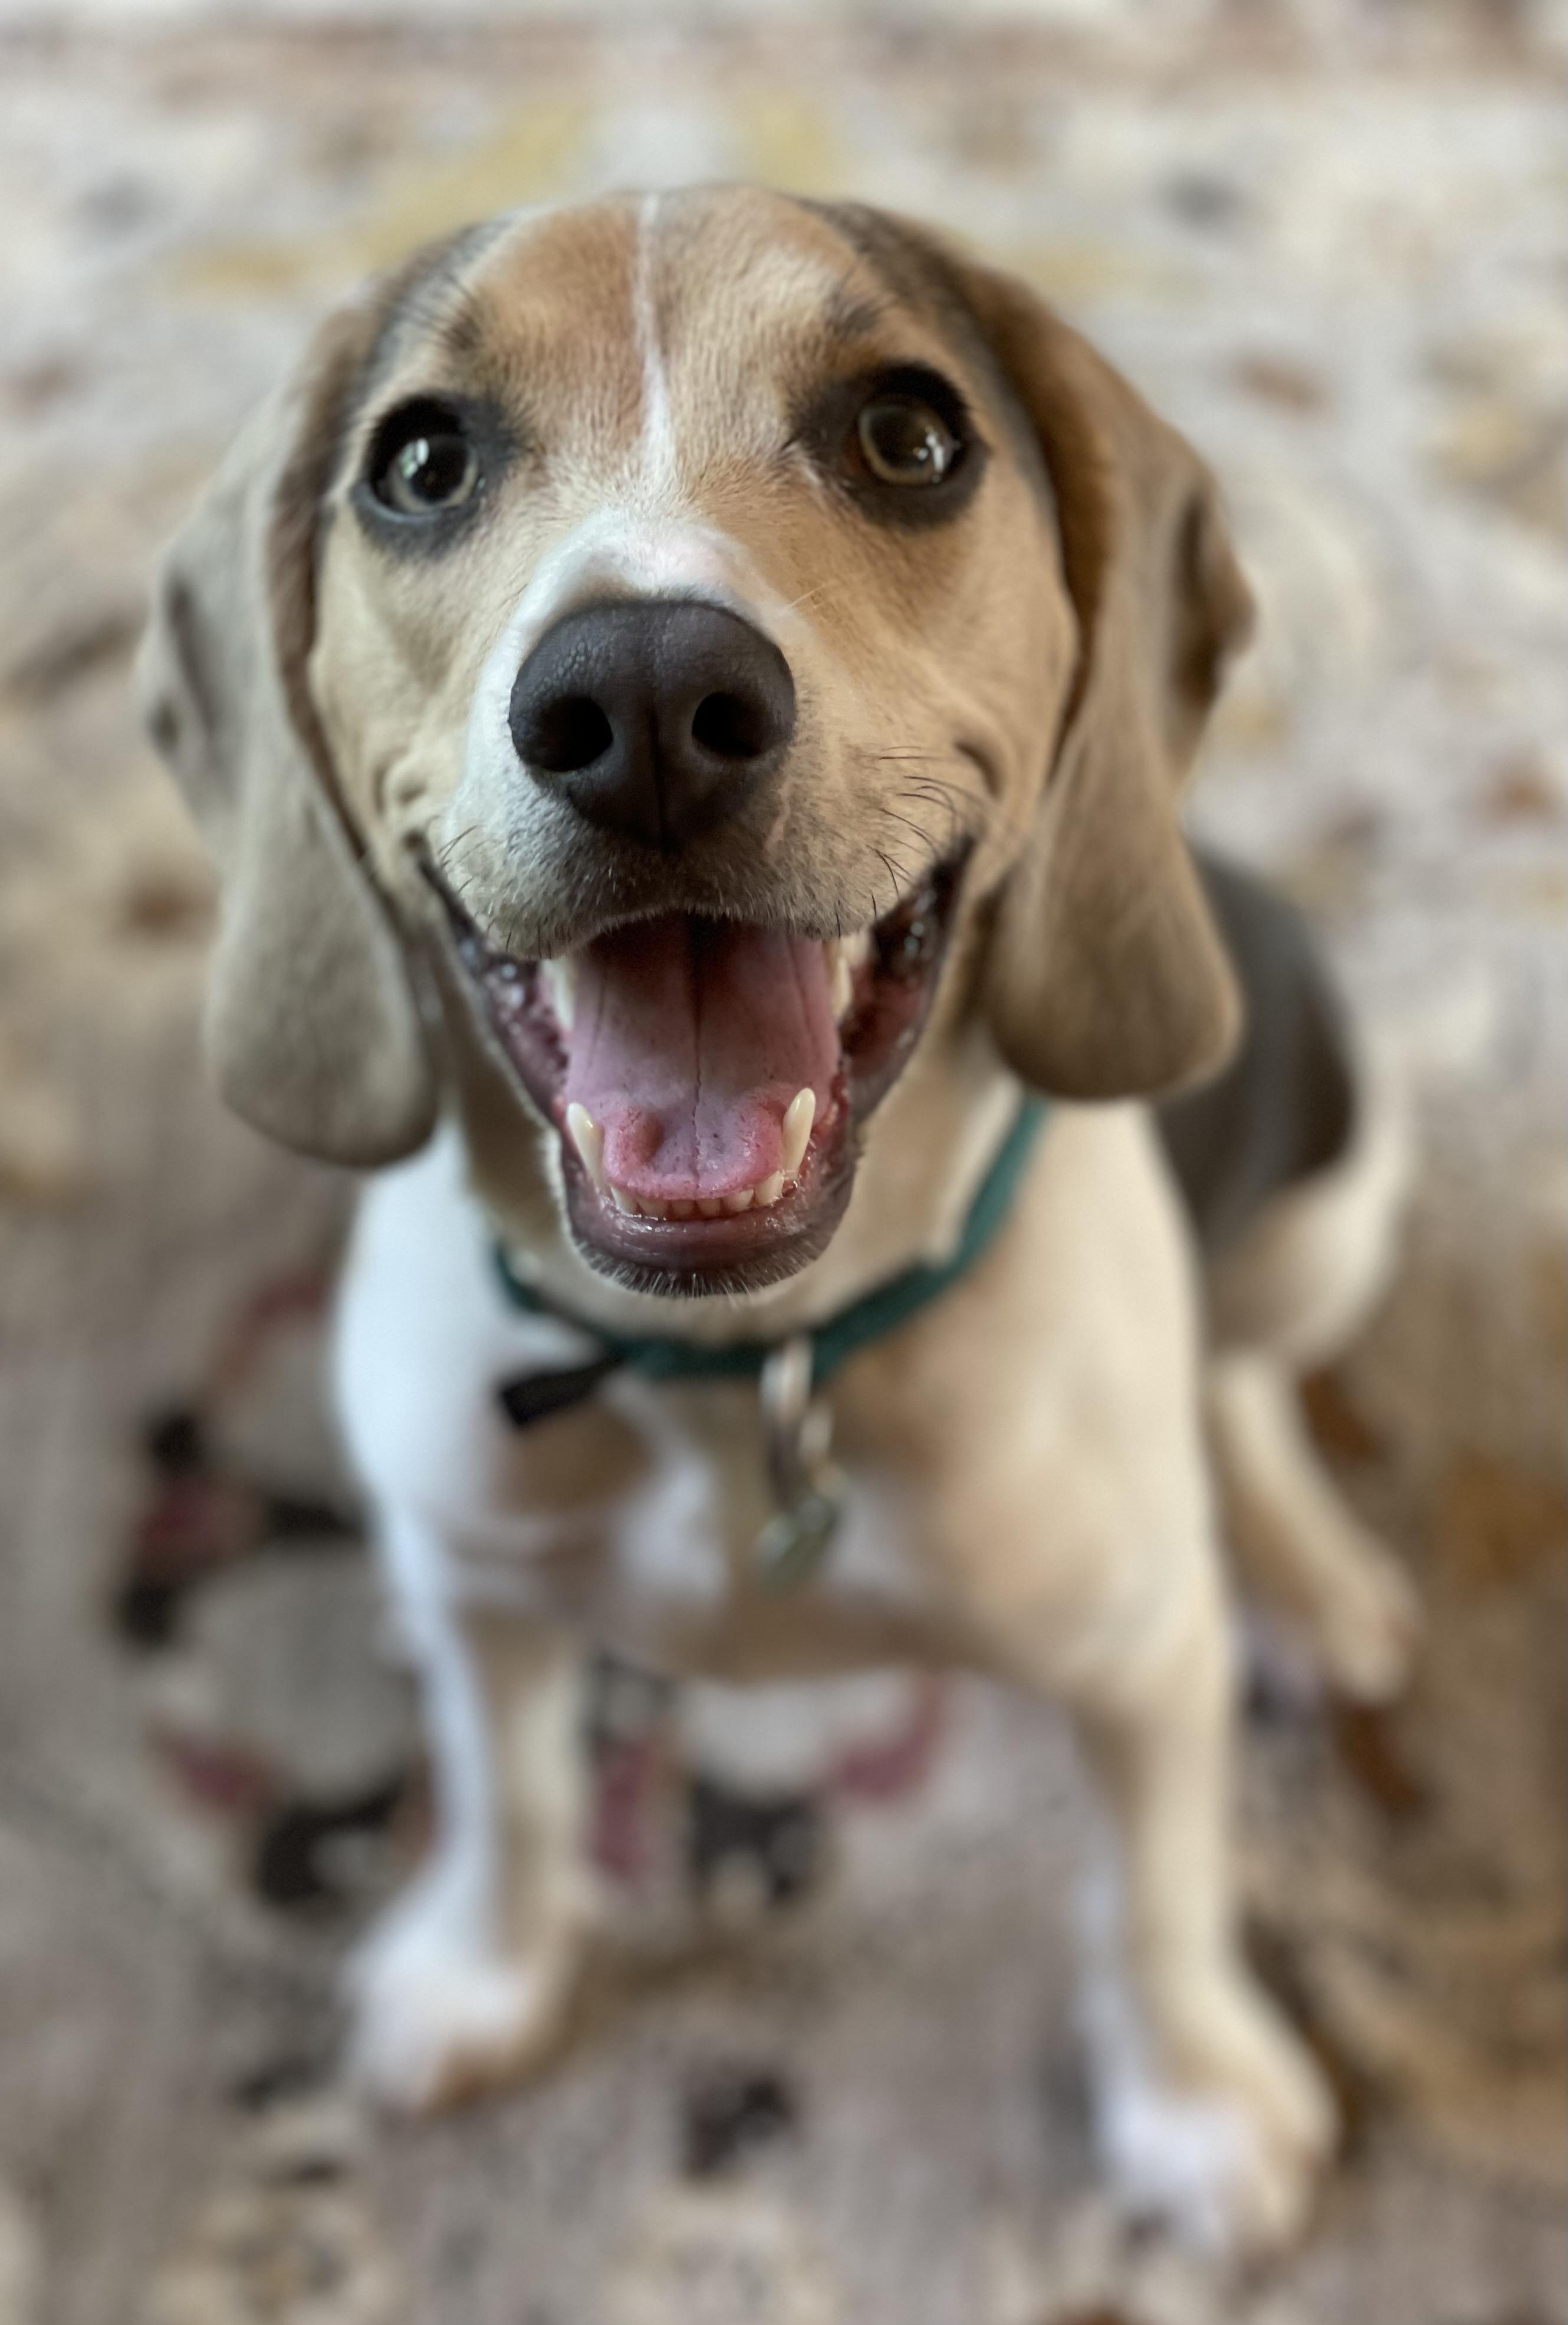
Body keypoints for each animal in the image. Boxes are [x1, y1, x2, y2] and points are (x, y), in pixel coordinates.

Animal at [144, 191, 1421, 2260]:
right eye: (419, 462)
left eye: (907, 436)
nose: (646, 699)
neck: (738, 1369)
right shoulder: (485, 1584)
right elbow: (505, 1799)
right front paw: (480, 1970)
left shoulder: (1138, 1666)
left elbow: (1154, 1894)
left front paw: (1197, 2094)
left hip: (1328, 1202)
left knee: (1244, 1389)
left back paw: (1307, 1578)